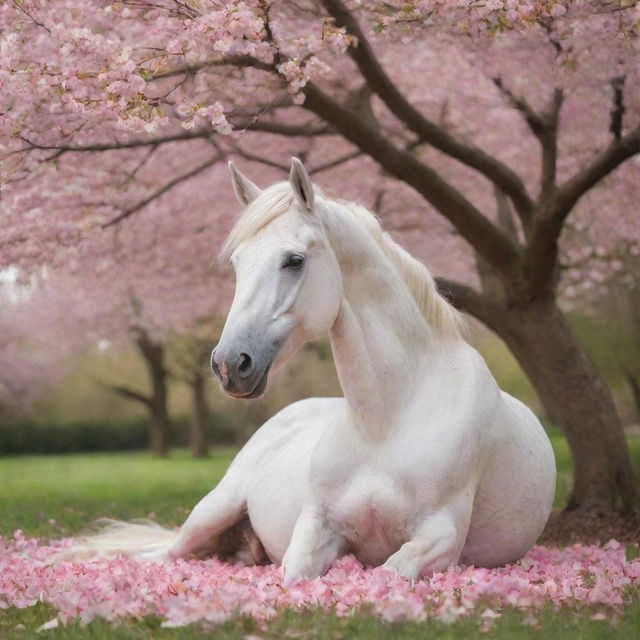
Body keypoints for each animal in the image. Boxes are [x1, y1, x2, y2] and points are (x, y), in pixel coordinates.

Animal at [69, 159, 556, 580]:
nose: (229, 365)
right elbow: (294, 572)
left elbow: (390, 572)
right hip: (213, 509)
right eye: (237, 263)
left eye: (294, 260)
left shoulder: (441, 537)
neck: (387, 423)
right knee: (161, 554)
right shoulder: (314, 531)